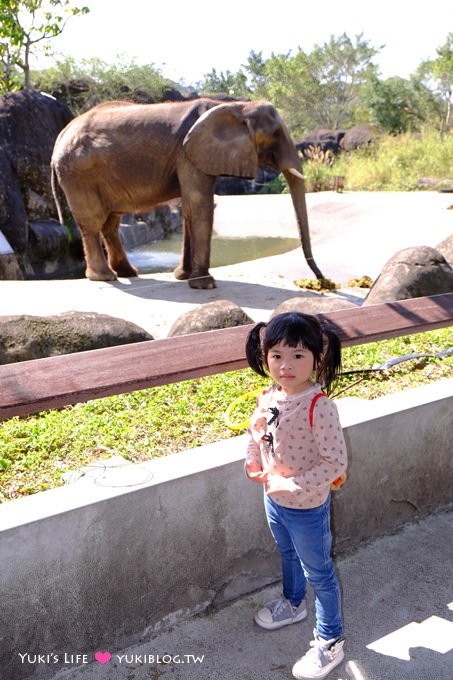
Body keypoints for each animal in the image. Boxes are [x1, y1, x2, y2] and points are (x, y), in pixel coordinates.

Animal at [51, 97, 324, 286]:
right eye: (276, 134)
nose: (321, 281)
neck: (235, 106)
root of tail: (60, 136)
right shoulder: (189, 154)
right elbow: (199, 203)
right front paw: (205, 284)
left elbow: (189, 210)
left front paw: (183, 277)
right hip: (79, 173)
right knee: (92, 221)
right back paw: (104, 277)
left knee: (111, 222)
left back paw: (127, 273)